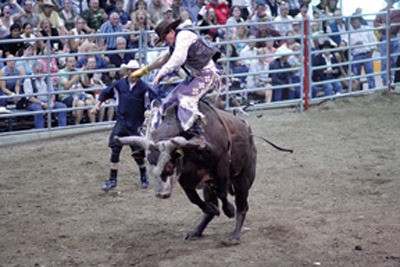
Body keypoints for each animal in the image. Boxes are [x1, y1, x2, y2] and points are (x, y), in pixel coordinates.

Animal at [115, 101, 256, 245]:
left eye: (169, 165)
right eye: (149, 166)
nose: (161, 194)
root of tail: (246, 128)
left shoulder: (221, 167)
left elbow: (222, 193)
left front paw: (229, 210)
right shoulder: (184, 176)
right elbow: (193, 198)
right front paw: (211, 209)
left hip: (243, 178)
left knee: (242, 206)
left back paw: (235, 235)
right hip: (208, 186)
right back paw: (197, 231)